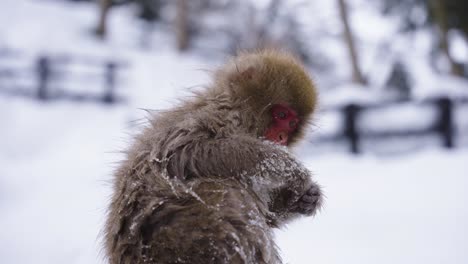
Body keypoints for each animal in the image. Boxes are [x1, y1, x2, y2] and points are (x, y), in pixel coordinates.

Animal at [102, 50, 322, 264]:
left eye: (293, 124)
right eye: (281, 115)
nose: (282, 137)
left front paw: (307, 199)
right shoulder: (215, 118)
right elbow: (188, 152)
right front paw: (291, 169)